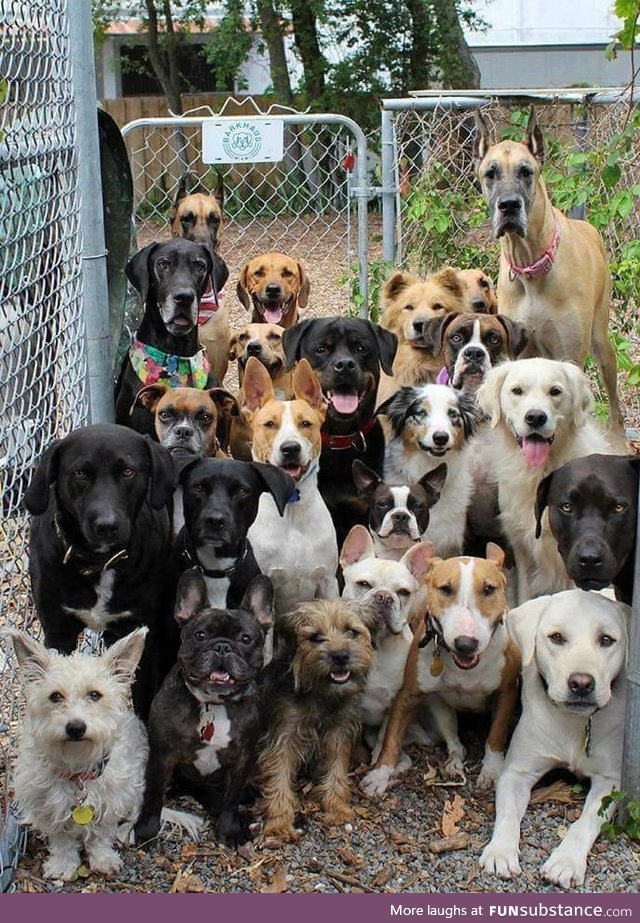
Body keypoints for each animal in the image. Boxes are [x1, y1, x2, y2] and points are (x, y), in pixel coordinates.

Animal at [360, 544, 520, 796]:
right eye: (445, 589)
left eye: (488, 589)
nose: (466, 644)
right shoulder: (408, 695)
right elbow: (391, 739)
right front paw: (379, 775)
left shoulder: (506, 692)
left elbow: (495, 736)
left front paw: (492, 772)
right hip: (439, 709)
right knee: (455, 743)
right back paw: (453, 763)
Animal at [476, 106, 620, 432]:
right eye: (491, 173)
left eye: (525, 171)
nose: (508, 206)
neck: (530, 264)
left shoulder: (570, 353)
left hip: (601, 340)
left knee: (615, 408)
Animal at [482, 592, 628, 888]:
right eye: (557, 637)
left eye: (607, 639)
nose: (582, 683)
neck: (573, 722)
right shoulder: (516, 773)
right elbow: (508, 814)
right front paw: (500, 850)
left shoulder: (609, 781)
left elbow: (584, 823)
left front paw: (566, 861)